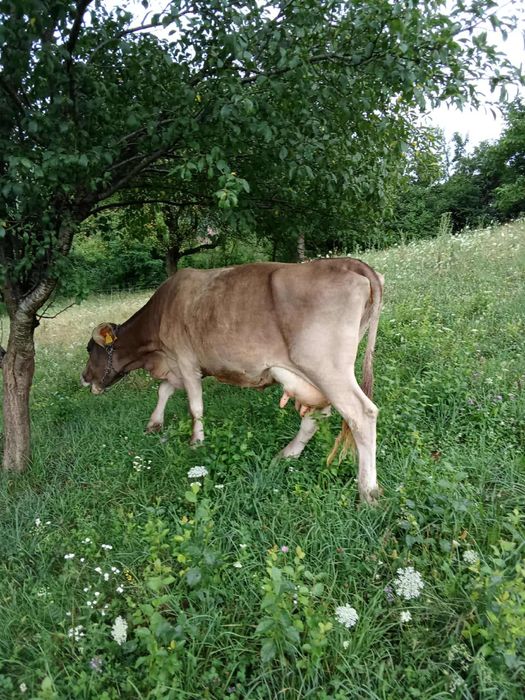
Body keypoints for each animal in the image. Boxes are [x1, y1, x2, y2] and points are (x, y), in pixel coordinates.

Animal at [81, 258, 383, 503]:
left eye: (89, 349)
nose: (84, 378)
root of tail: (348, 262)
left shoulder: (186, 361)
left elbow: (195, 406)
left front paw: (197, 442)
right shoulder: (177, 366)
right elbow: (164, 390)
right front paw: (154, 424)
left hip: (326, 367)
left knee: (362, 414)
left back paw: (368, 492)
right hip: (316, 377)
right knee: (317, 415)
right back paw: (286, 455)